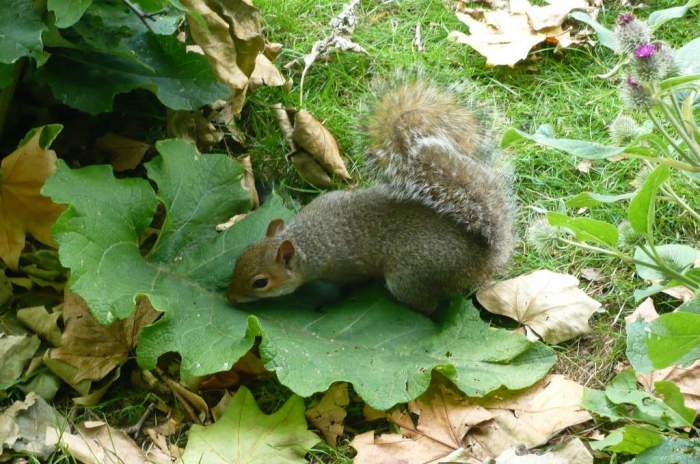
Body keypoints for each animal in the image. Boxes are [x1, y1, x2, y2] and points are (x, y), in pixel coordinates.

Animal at [227, 81, 516, 316]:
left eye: (260, 282)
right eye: (239, 257)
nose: (229, 297)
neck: (306, 240)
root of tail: (484, 259)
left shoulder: (346, 268)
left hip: (410, 278)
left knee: (428, 306)